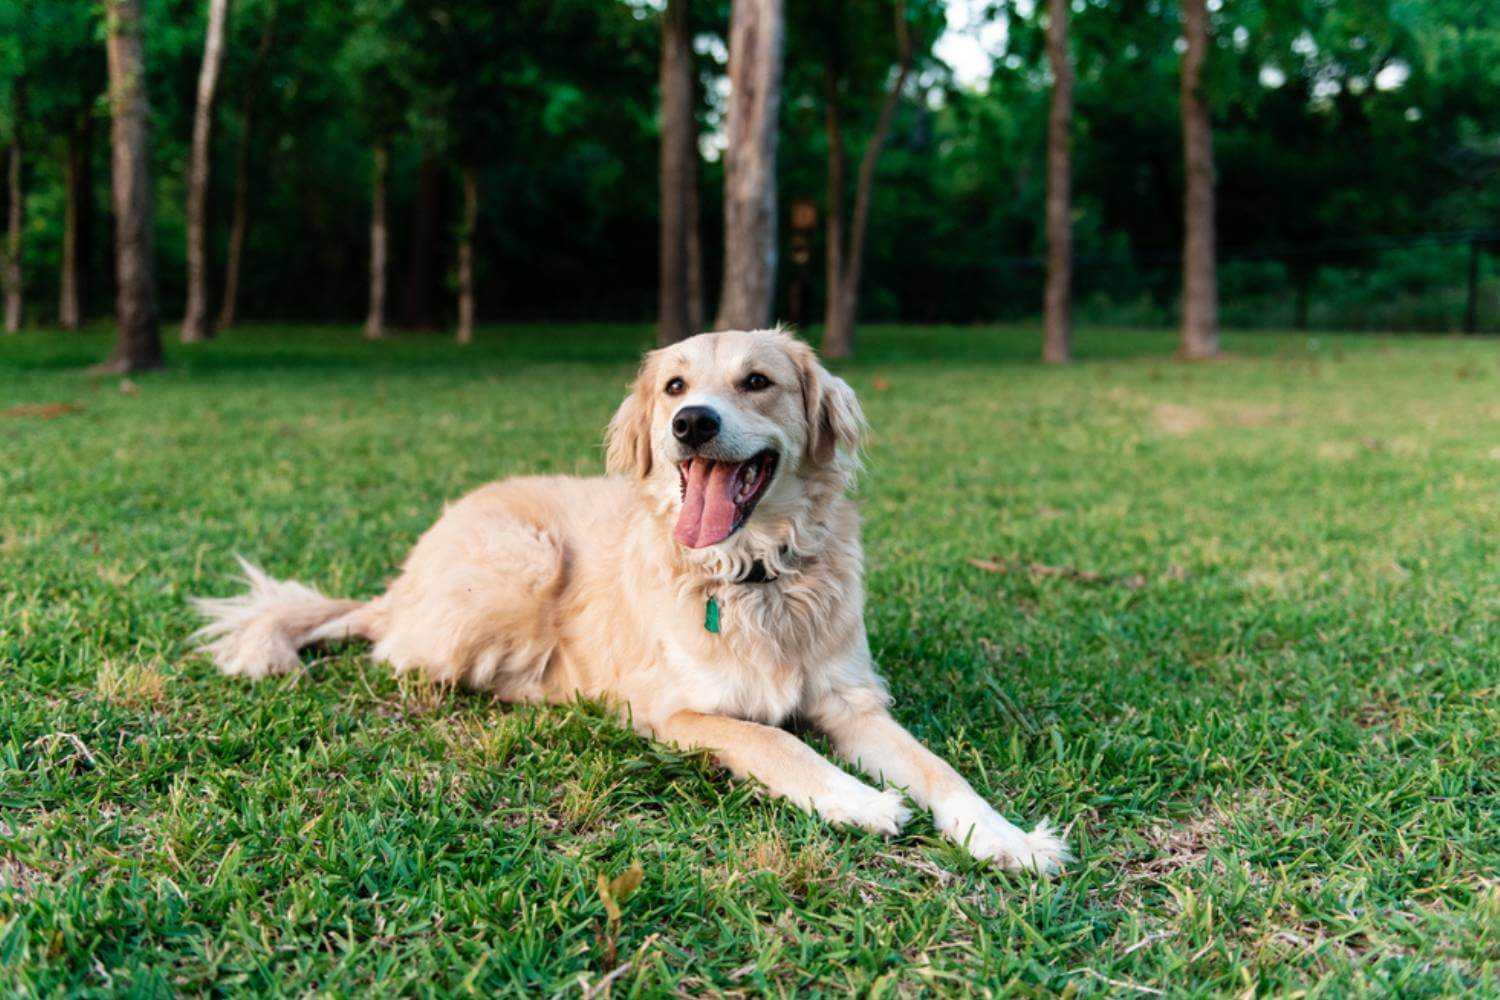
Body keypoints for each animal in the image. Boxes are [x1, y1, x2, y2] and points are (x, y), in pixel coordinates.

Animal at [196, 329, 1068, 875]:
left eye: (758, 381)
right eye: (675, 385)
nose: (690, 422)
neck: (754, 576)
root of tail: (401, 582)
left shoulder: (853, 704)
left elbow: (942, 771)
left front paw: (1007, 838)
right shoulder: (676, 713)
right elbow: (773, 742)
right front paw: (855, 800)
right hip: (527, 562)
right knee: (409, 654)